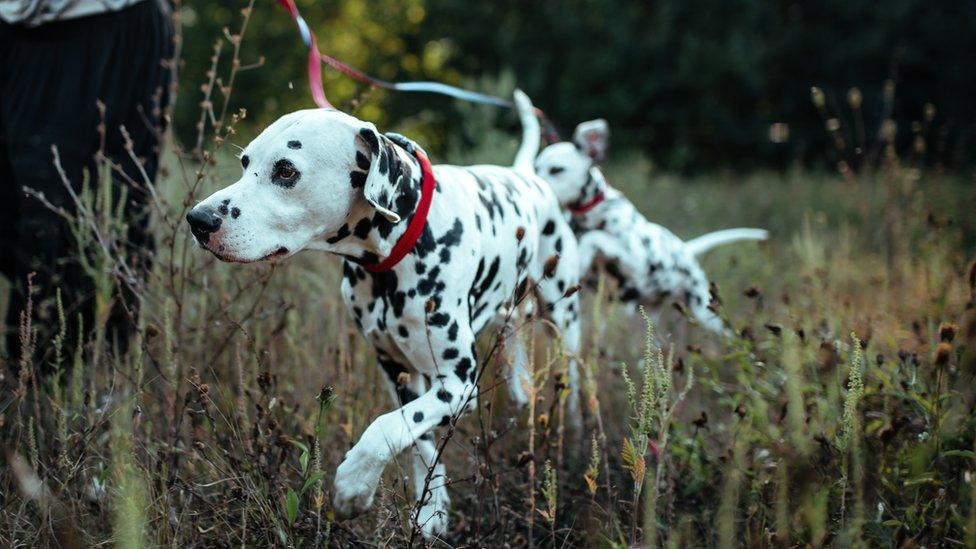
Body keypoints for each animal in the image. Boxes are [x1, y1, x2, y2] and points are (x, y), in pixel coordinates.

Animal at [184, 93, 580, 536]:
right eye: (245, 161)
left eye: (286, 170)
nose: (198, 219)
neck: (396, 251)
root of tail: (525, 175)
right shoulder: (399, 371)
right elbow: (414, 439)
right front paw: (432, 510)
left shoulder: (459, 384)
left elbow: (383, 428)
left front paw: (353, 487)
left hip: (563, 315)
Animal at [516, 94, 768, 334]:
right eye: (537, 167)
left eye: (556, 170)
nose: (533, 181)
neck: (592, 216)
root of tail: (686, 250)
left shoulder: (635, 261)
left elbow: (594, 238)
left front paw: (584, 254)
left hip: (704, 310)